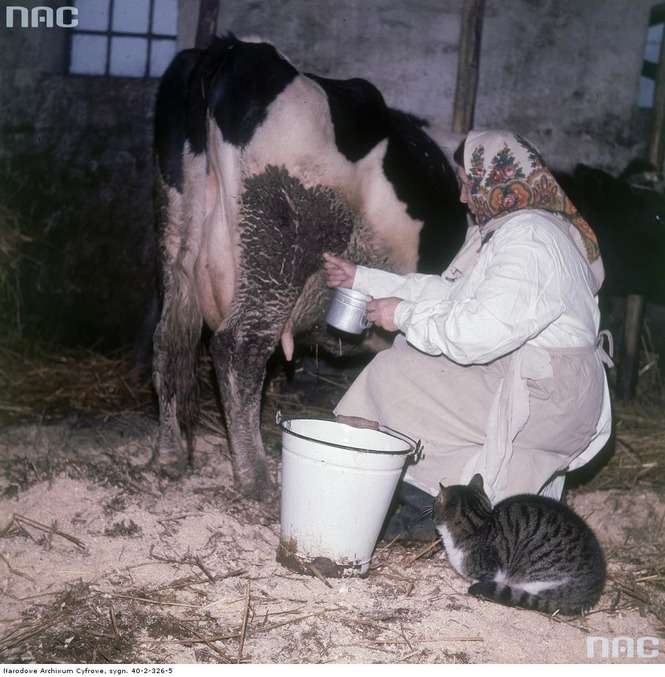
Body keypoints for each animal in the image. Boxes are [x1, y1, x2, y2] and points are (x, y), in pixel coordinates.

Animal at [152, 34, 467, 497]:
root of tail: (236, 48)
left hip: (177, 232)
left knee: (170, 339)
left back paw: (169, 456)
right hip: (280, 239)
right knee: (238, 346)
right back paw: (257, 478)